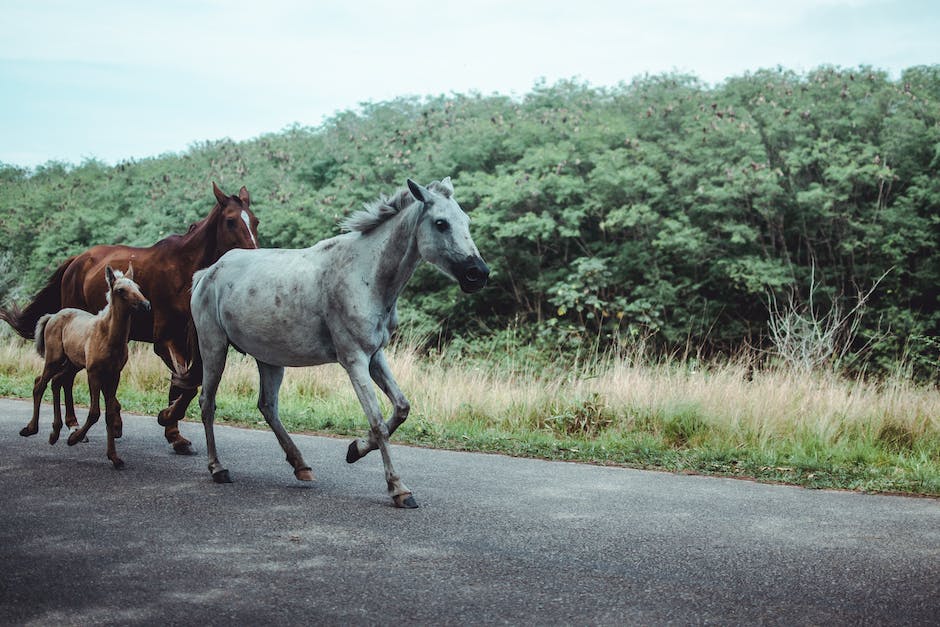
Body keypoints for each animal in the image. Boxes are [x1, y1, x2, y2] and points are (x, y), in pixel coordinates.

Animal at [21, 266, 151, 472]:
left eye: (137, 287)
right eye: (120, 290)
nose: (146, 305)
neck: (109, 337)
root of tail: (52, 316)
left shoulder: (114, 374)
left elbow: (109, 413)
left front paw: (115, 458)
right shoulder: (94, 373)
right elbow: (95, 412)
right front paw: (75, 438)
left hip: (72, 363)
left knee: (56, 381)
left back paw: (55, 432)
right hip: (54, 359)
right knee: (39, 385)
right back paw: (31, 428)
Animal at [188, 174, 488, 508]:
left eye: (466, 220)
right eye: (440, 223)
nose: (478, 273)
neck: (365, 274)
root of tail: (207, 273)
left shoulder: (375, 356)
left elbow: (401, 408)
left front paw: (355, 449)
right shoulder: (354, 359)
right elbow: (378, 422)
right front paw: (399, 488)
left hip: (268, 358)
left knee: (267, 406)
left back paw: (301, 466)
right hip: (214, 348)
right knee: (207, 402)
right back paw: (218, 468)